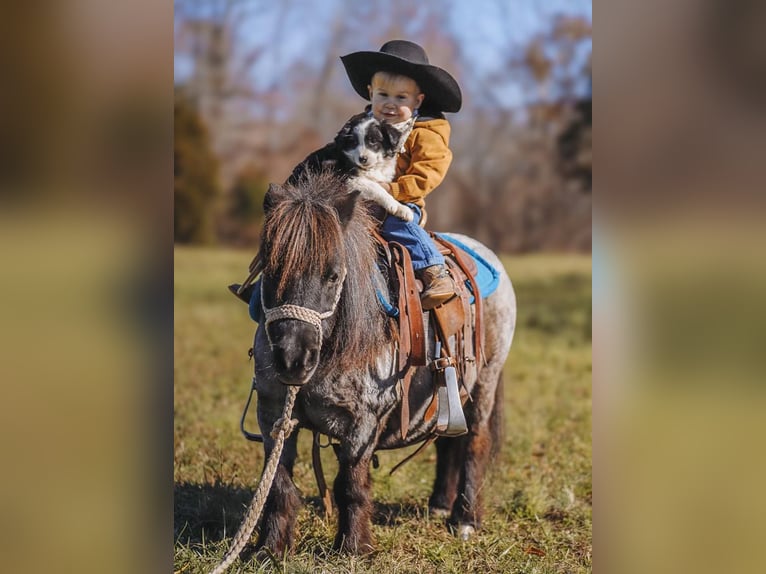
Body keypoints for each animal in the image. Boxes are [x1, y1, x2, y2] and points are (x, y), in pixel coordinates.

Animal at [286, 113, 414, 223]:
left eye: (373, 141)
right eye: (354, 143)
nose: (362, 159)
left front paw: (402, 210)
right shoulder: (348, 179)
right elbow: (376, 187)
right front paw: (394, 205)